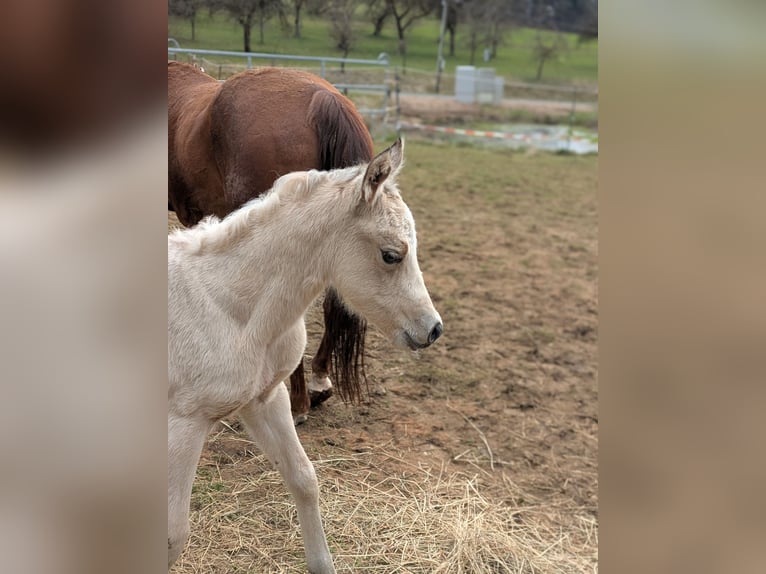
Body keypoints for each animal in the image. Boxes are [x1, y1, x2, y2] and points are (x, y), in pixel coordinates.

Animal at [168, 139, 442, 572]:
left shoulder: (265, 399)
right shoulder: (184, 423)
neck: (230, 306)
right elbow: (172, 533)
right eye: (391, 254)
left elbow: (304, 479)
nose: (432, 329)